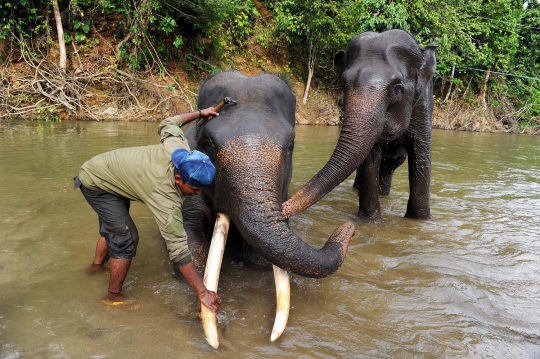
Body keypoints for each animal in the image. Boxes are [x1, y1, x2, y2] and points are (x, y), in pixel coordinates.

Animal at [282, 30, 438, 222]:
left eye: (397, 88)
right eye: (344, 83)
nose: (283, 207)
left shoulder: (423, 107)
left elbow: (420, 156)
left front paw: (420, 221)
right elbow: (370, 157)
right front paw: (371, 222)